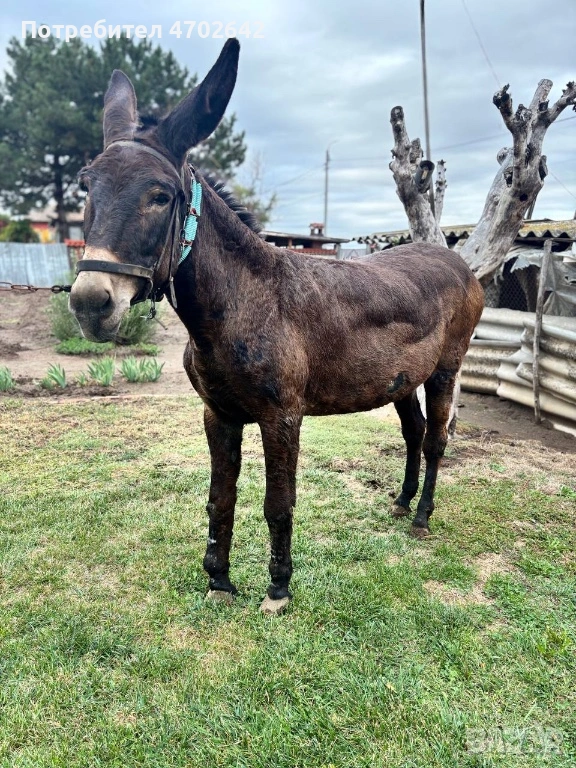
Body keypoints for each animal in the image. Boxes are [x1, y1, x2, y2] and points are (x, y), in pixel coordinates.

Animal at [69, 39, 484, 613]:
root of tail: (450, 256)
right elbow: (219, 499)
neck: (243, 303)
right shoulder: (218, 414)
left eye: (160, 196)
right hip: (401, 378)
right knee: (414, 430)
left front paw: (279, 587)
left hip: (446, 368)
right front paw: (219, 581)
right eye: (86, 186)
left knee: (437, 439)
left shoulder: (282, 417)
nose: (90, 302)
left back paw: (422, 516)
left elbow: (278, 503)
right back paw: (401, 502)